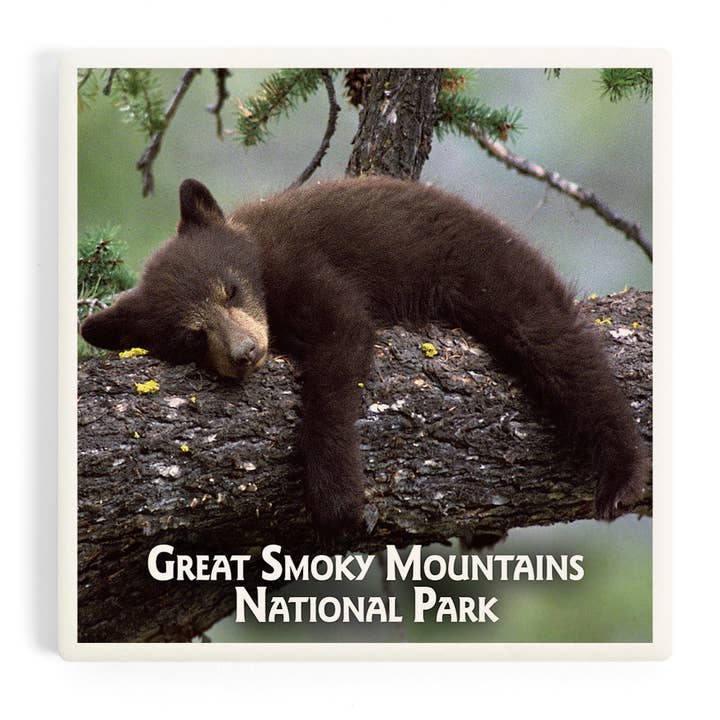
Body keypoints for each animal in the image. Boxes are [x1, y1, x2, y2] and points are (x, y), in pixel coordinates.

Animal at [81, 176, 648, 535]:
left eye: (231, 289)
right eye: (192, 337)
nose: (246, 352)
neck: (262, 263)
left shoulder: (304, 267)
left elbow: (340, 349)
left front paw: (336, 501)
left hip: (488, 269)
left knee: (557, 346)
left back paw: (621, 473)